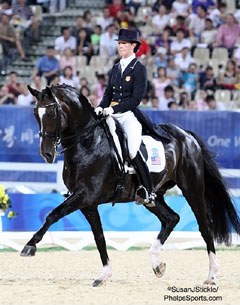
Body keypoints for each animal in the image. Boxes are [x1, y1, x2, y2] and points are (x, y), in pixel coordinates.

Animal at [22, 84, 240, 286]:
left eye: (51, 113)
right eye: (35, 113)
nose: (47, 154)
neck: (88, 142)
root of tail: (186, 135)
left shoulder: (84, 195)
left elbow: (53, 214)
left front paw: (29, 246)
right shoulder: (88, 203)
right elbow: (99, 237)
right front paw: (104, 275)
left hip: (192, 189)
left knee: (205, 226)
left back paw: (211, 275)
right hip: (152, 196)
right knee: (171, 218)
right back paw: (157, 264)